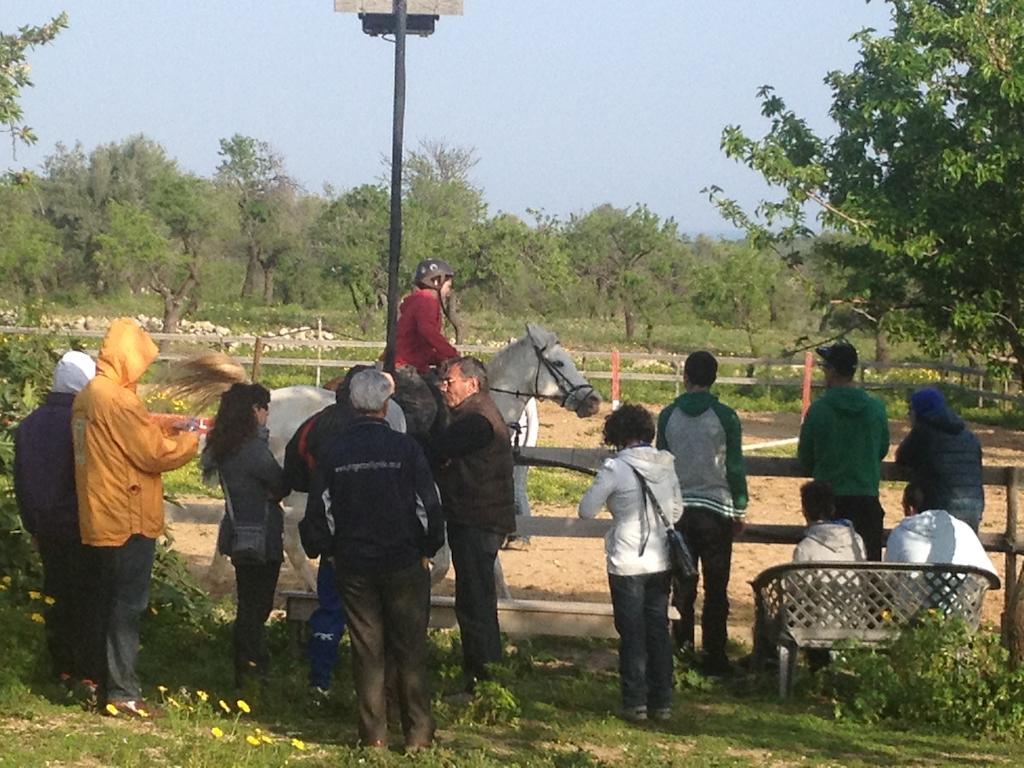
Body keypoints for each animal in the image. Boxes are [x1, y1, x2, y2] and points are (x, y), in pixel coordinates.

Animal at [192, 325, 598, 593]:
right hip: (297, 493)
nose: (592, 401)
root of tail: (266, 403)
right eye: (560, 362)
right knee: (289, 538)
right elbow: (446, 559)